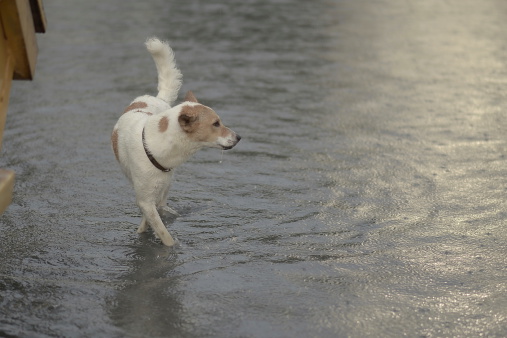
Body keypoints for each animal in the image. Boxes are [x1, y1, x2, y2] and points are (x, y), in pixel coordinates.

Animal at [112, 38, 242, 246]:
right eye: (216, 123)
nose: (238, 137)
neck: (157, 144)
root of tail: (155, 97)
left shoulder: (155, 193)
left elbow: (155, 220)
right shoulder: (145, 198)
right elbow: (163, 232)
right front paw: (169, 245)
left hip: (168, 184)